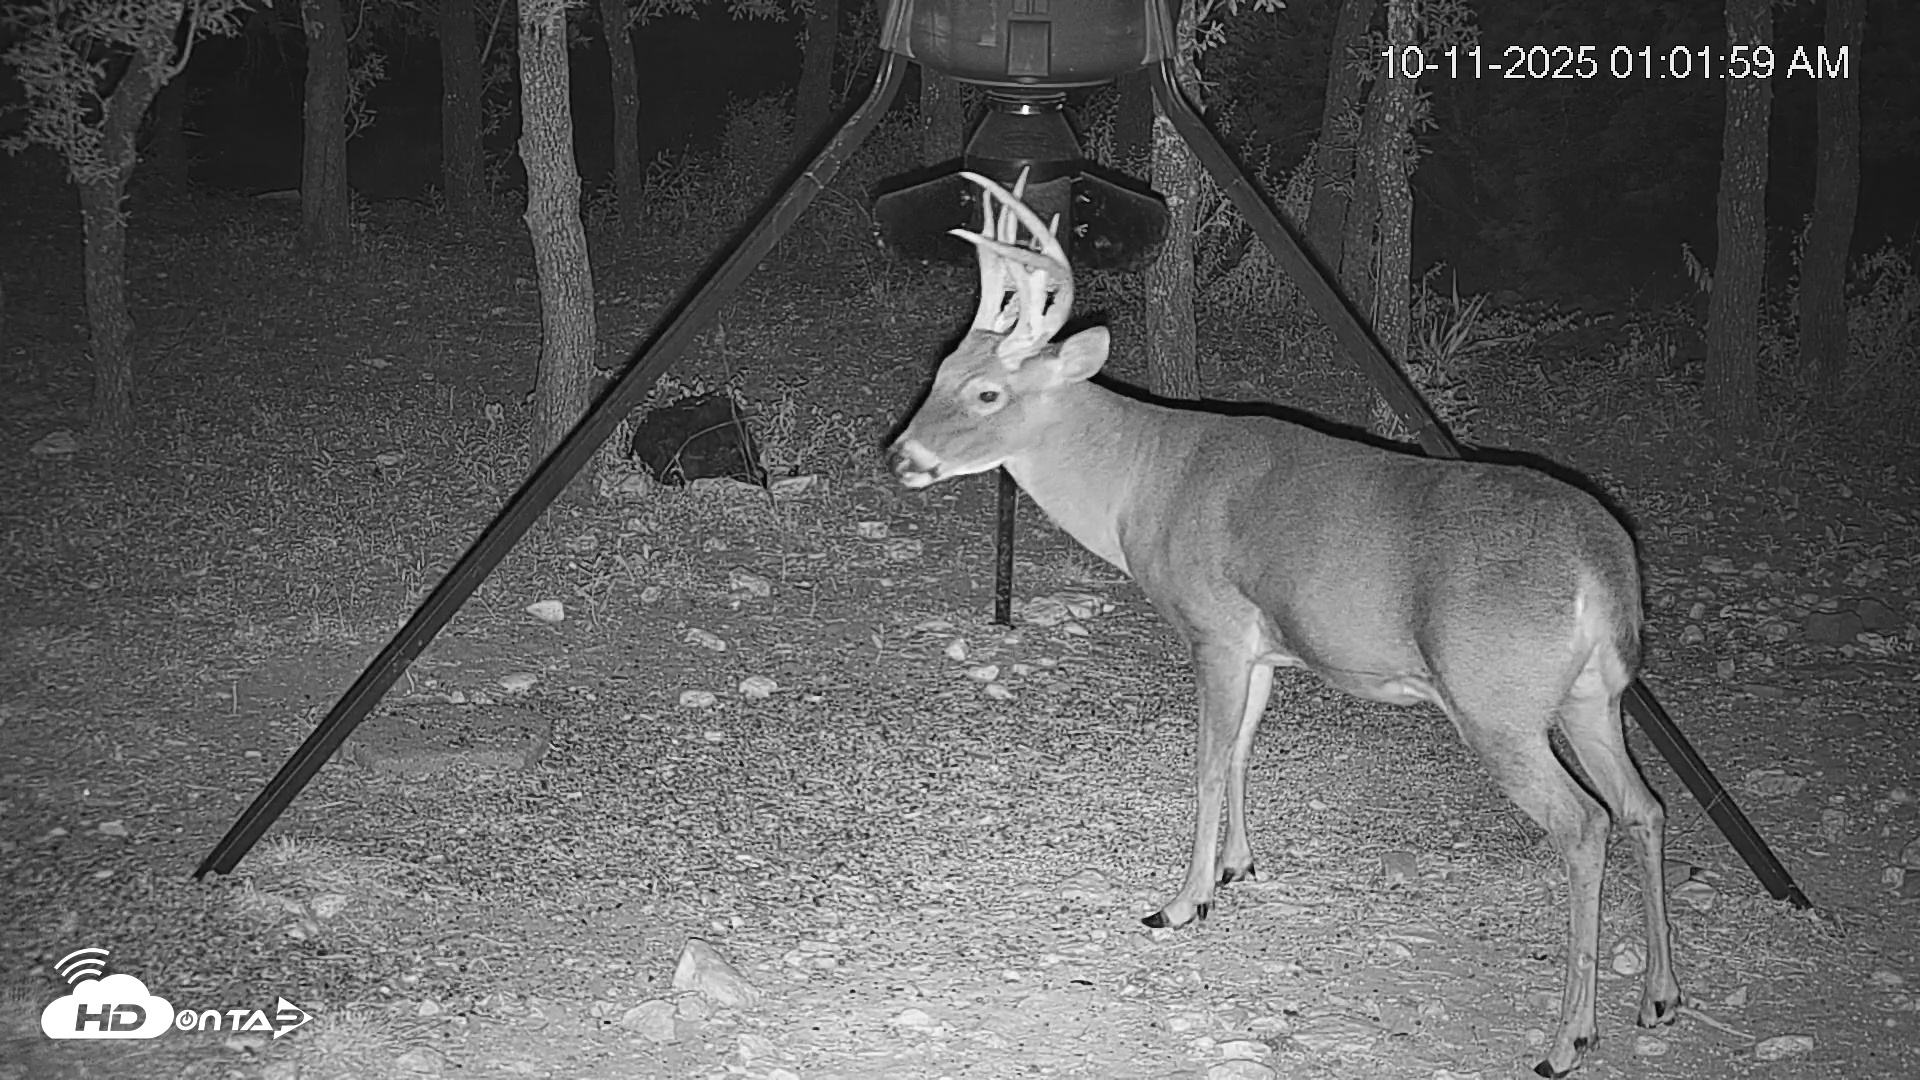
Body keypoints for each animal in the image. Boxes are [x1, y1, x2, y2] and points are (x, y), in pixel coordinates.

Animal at [887, 172, 1682, 1077]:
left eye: (988, 392)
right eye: (942, 368)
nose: (900, 457)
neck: (1137, 481)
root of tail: (1603, 565)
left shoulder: (1212, 625)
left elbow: (1204, 762)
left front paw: (1180, 902)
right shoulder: (1264, 647)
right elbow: (1241, 751)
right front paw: (1237, 867)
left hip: (1498, 702)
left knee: (1585, 824)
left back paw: (1568, 1039)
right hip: (1593, 695)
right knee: (1644, 806)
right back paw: (1659, 998)